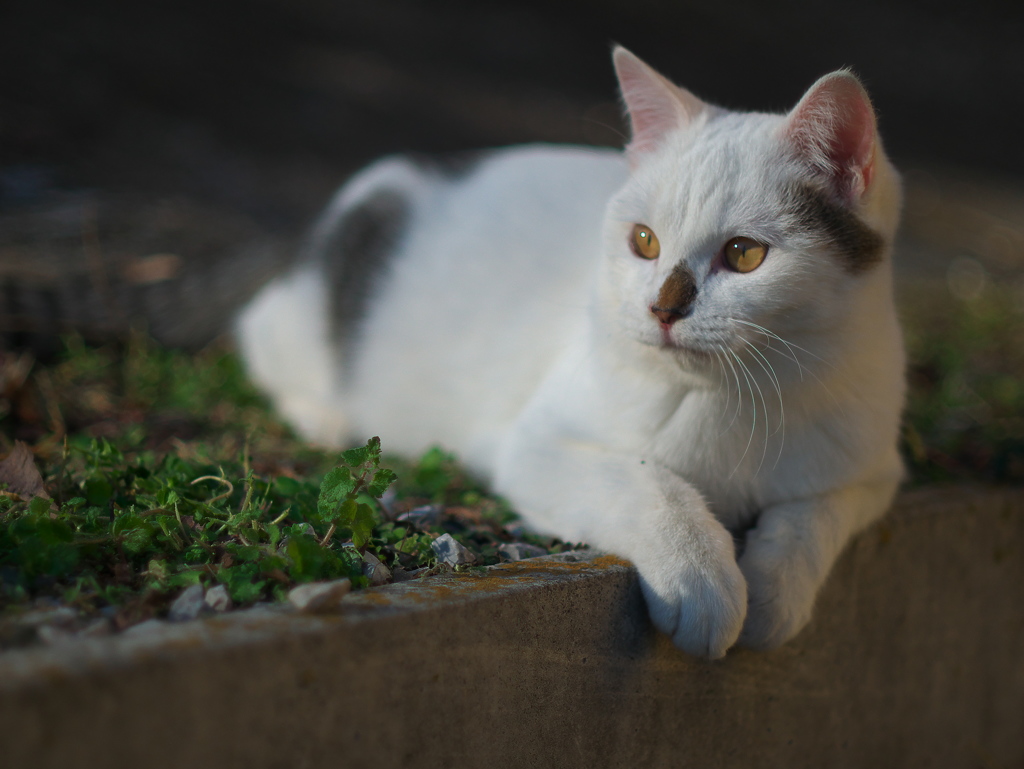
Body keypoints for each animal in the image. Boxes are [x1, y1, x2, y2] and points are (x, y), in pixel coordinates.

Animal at [237, 48, 905, 659]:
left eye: (744, 254)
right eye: (644, 242)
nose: (662, 310)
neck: (732, 396)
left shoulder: (873, 471)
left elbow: (815, 517)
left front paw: (775, 596)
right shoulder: (535, 447)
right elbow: (647, 482)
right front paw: (702, 580)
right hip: (295, 325)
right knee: (260, 343)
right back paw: (325, 419)